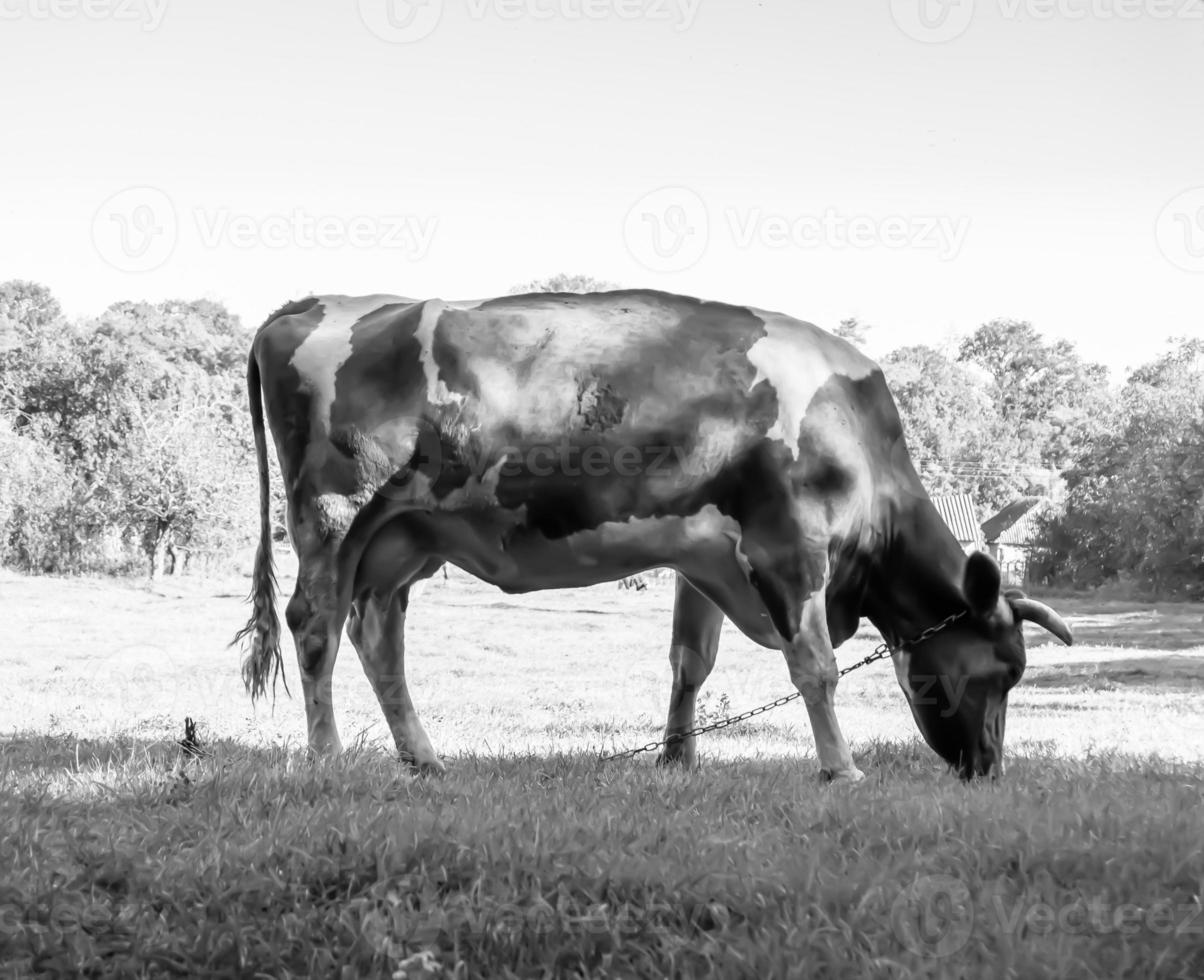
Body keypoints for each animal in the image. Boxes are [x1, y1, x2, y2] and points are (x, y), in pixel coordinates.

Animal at [234, 290, 1073, 784]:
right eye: (1004, 670)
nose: (988, 767)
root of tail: (311, 303)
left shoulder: (704, 554)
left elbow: (690, 662)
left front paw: (677, 758)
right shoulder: (787, 546)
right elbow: (816, 668)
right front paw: (841, 769)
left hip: (403, 539)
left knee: (378, 638)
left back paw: (424, 758)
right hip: (334, 516)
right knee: (315, 624)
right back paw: (328, 756)